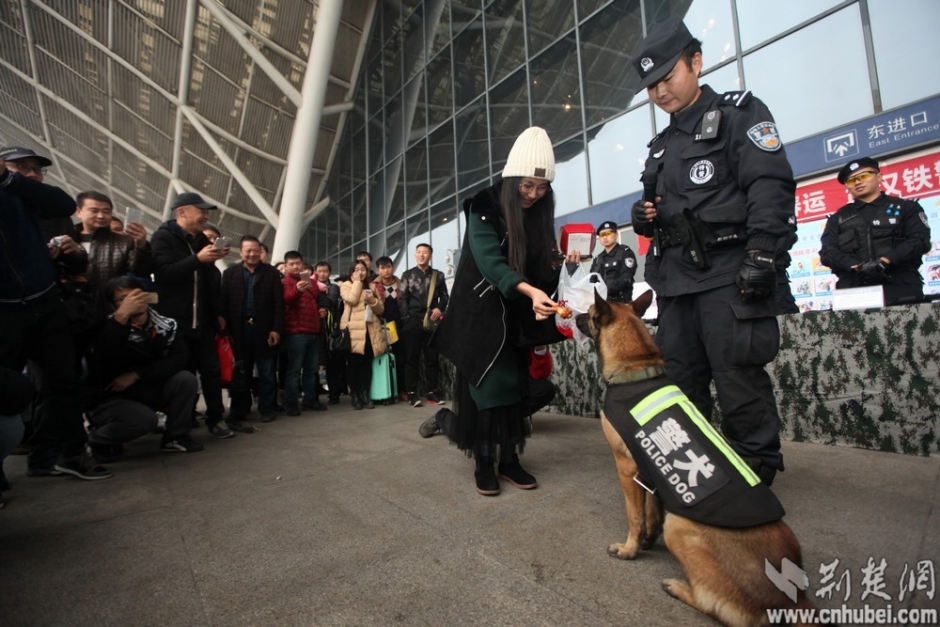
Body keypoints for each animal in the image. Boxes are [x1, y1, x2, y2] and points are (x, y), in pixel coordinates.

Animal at [572, 292, 816, 624]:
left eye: (589, 312)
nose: (572, 315)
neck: (636, 367)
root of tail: (791, 599)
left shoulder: (626, 466)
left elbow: (634, 514)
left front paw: (630, 549)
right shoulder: (651, 473)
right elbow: (652, 511)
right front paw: (647, 540)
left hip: (679, 527)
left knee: (710, 602)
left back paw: (678, 588)